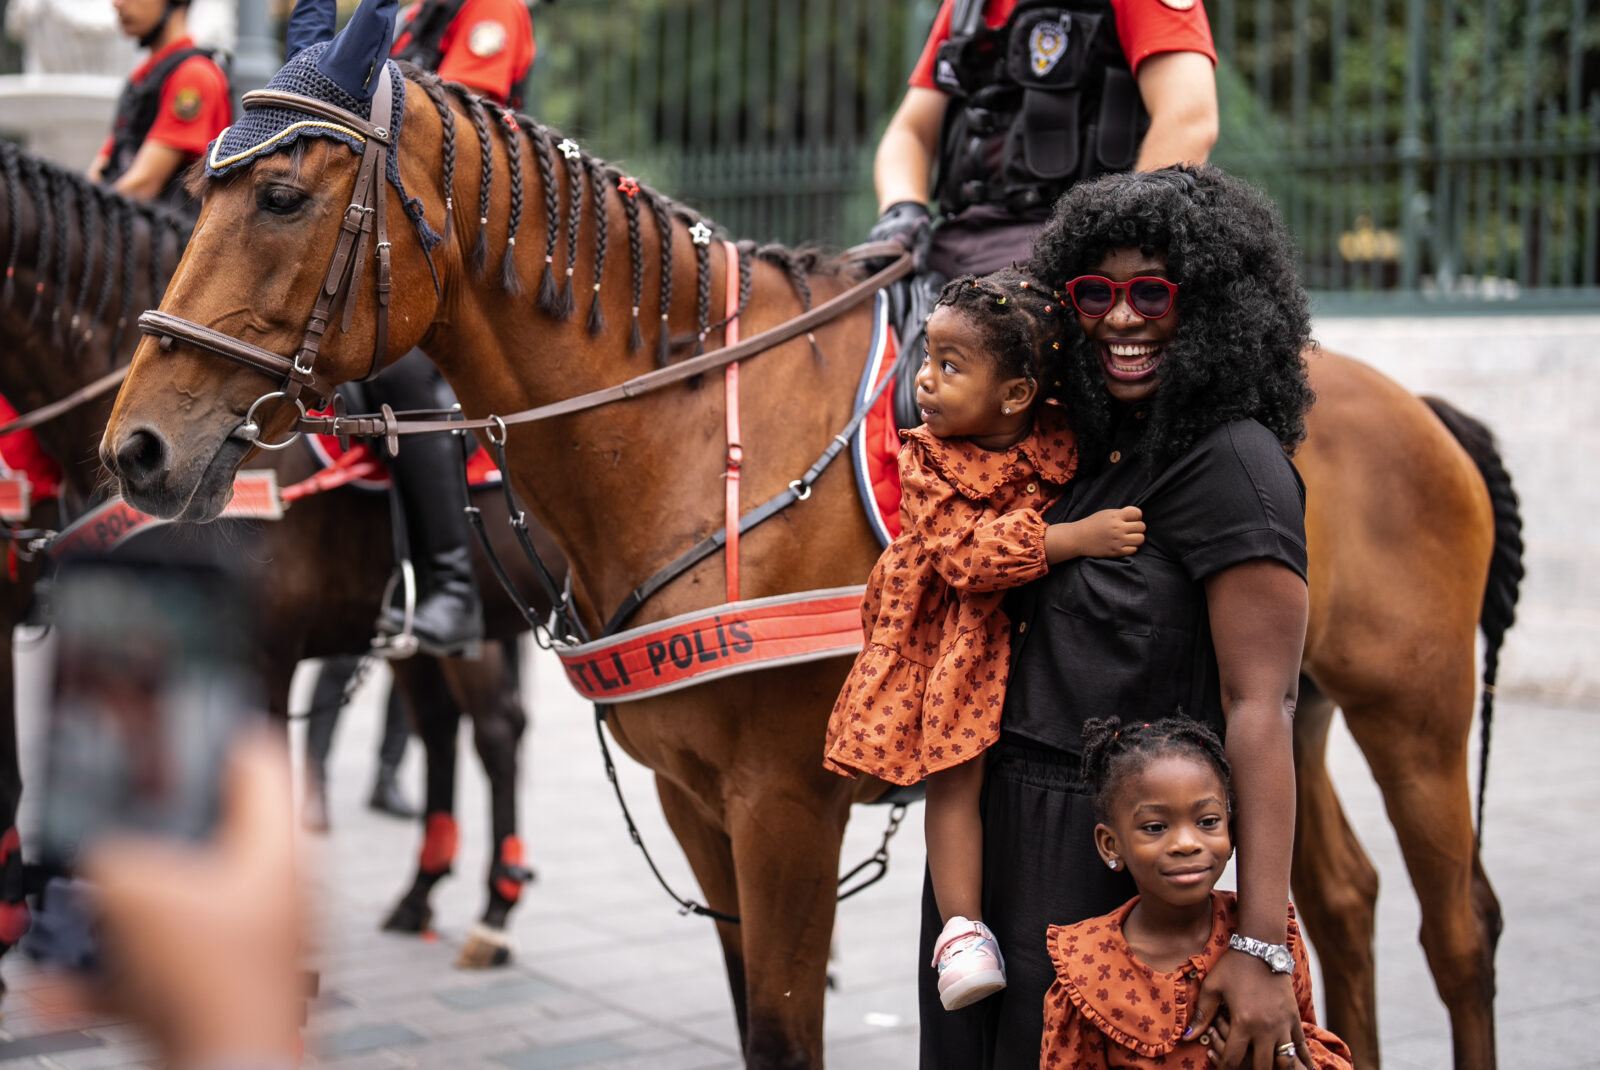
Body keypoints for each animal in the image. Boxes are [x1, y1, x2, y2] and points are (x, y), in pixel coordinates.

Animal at [0, 139, 560, 966]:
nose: (140, 452)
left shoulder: (257, 656)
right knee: (459, 726)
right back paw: (426, 892)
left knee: (493, 731)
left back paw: (492, 909)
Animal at [106, 68, 1516, 1068]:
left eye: (282, 197)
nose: (138, 445)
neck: (683, 436)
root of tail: (1417, 404)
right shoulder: (694, 799)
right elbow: (751, 1022)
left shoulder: (783, 802)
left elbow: (786, 1027)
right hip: (1277, 704)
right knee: (1333, 898)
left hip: (1412, 706)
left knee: (1458, 925)